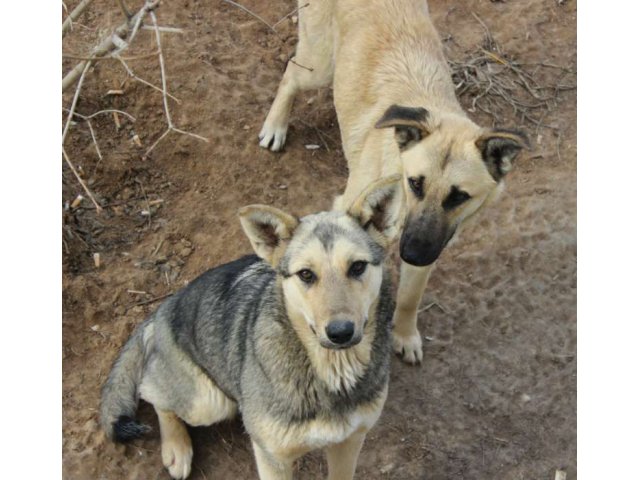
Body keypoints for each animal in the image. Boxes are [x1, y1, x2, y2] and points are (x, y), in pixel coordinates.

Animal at [258, 0, 528, 362]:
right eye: (414, 183)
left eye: (459, 197)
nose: (411, 253)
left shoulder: (432, 245)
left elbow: (410, 296)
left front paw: (404, 334)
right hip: (319, 66)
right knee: (290, 73)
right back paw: (275, 126)